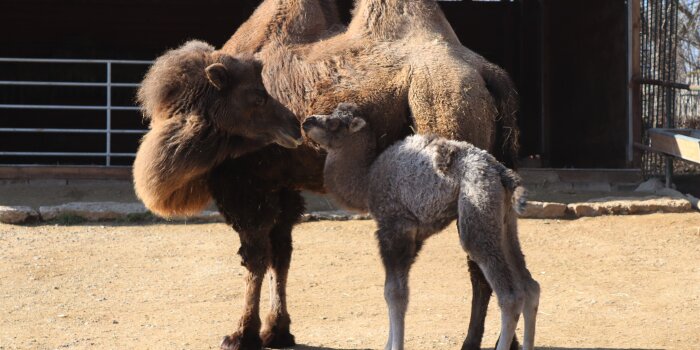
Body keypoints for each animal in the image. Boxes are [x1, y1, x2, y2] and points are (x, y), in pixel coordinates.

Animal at [304, 103, 540, 350]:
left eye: (334, 122)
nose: (307, 121)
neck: (367, 181)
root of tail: (502, 172)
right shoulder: (413, 237)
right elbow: (394, 289)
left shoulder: (395, 226)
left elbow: (394, 294)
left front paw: (395, 346)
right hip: (505, 221)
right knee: (530, 286)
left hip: (478, 209)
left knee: (509, 295)